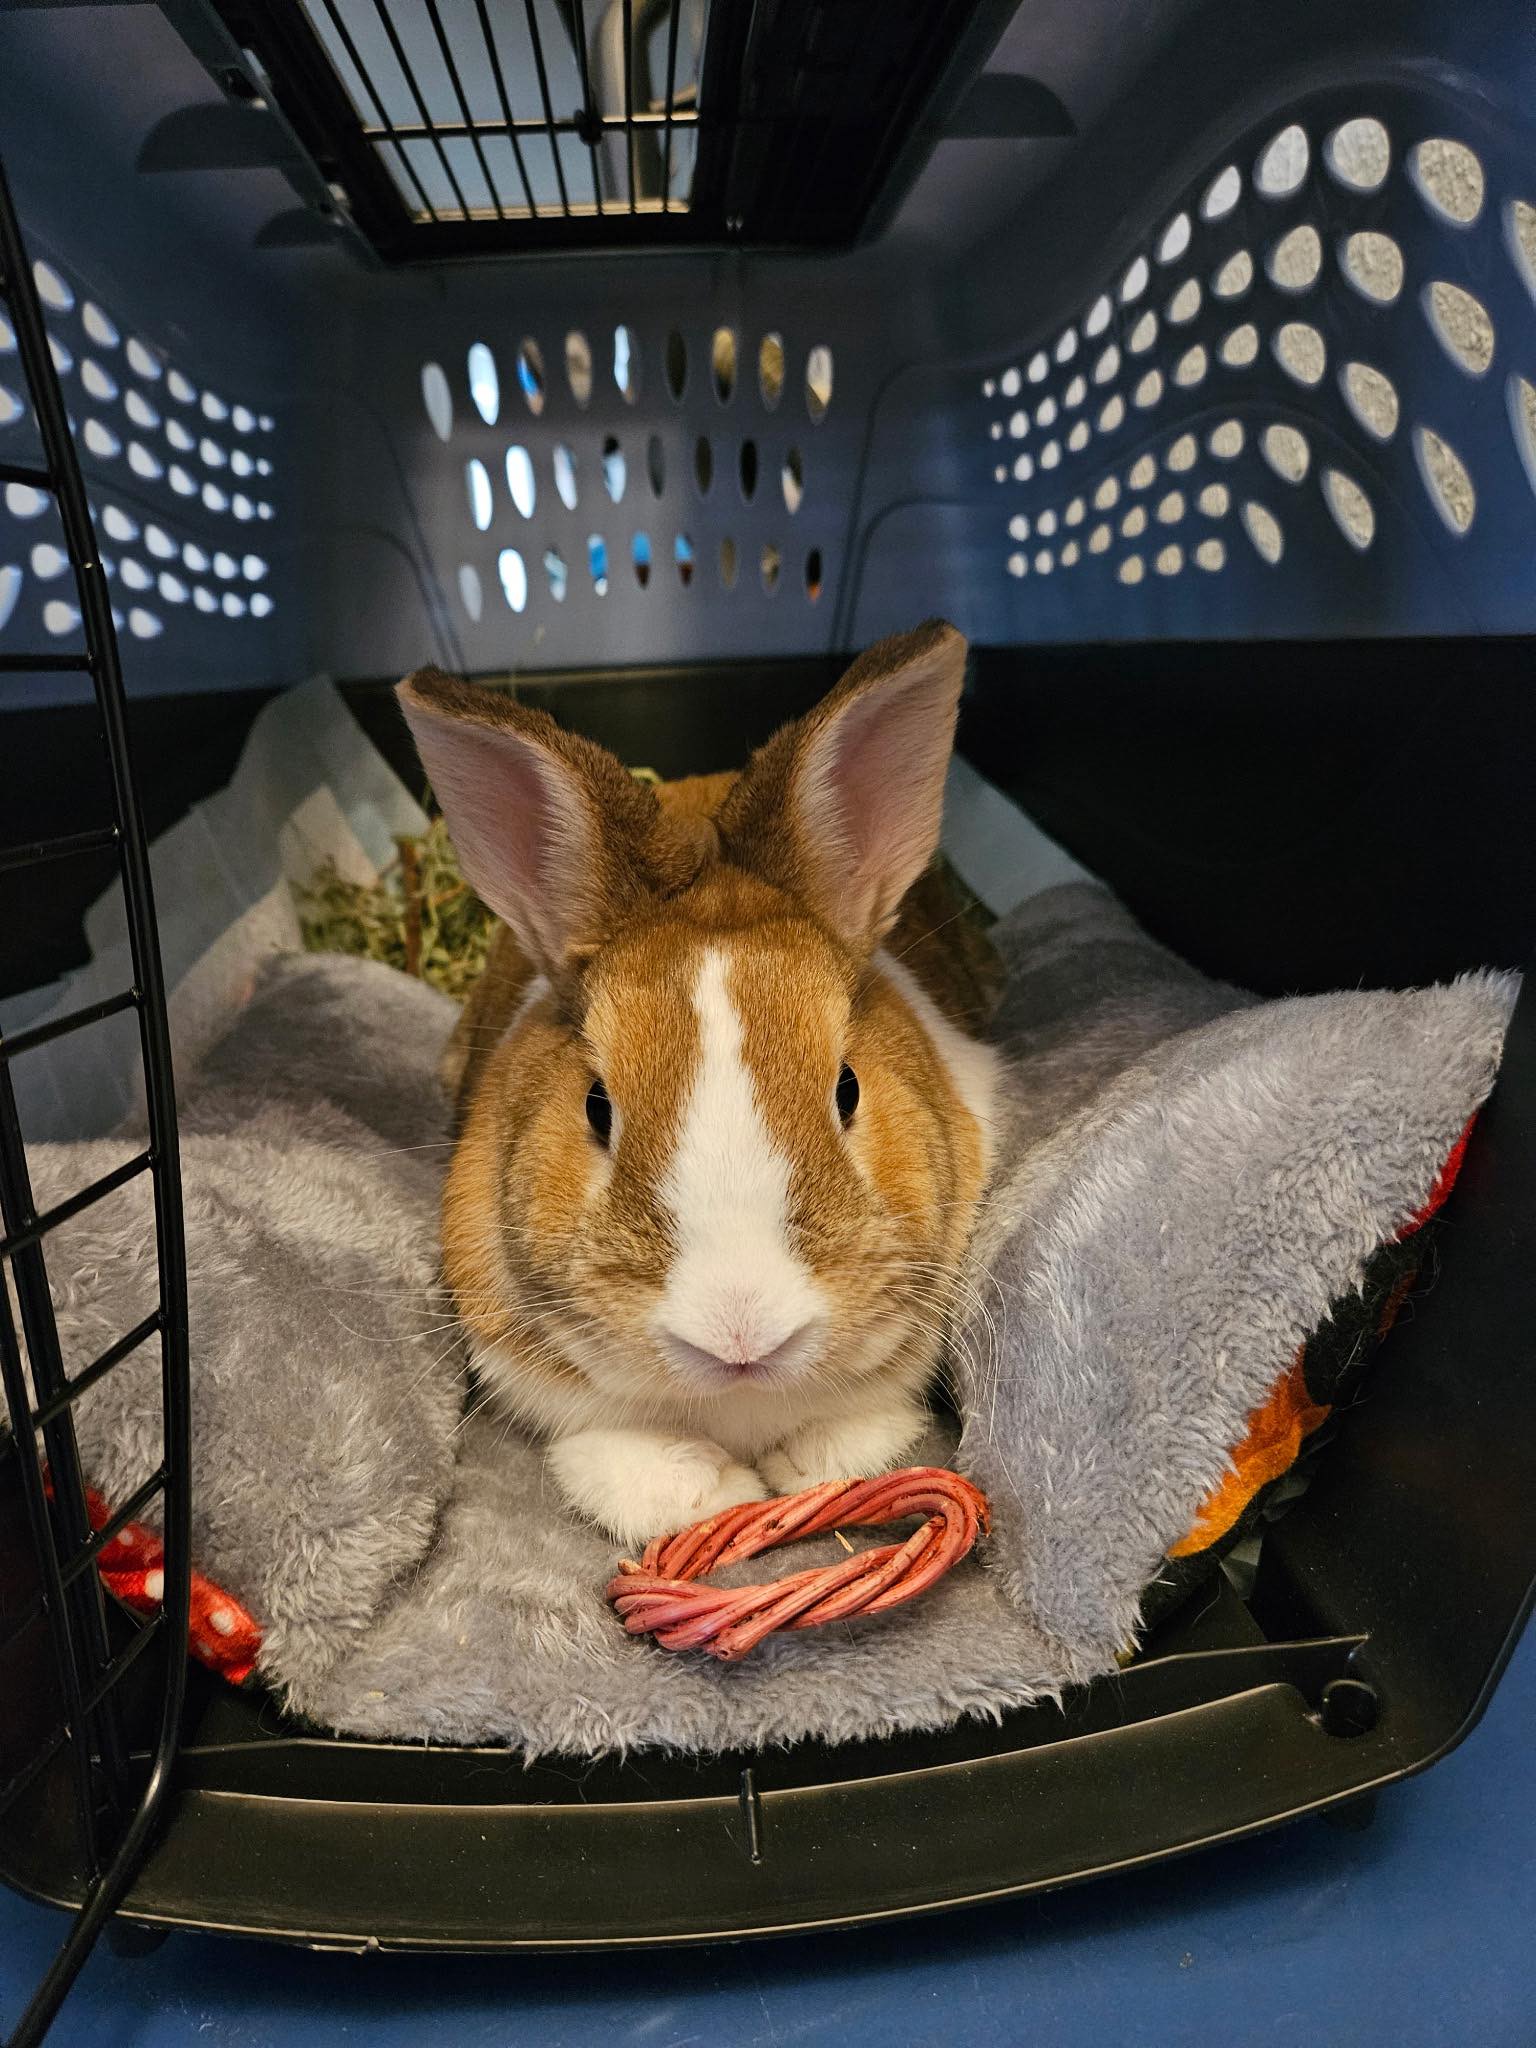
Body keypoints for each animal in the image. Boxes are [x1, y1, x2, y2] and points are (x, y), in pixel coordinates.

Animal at [397, 620, 1003, 1546]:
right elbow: (609, 1438)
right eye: (597, 1107)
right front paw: (703, 1492)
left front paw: (813, 1467)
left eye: (848, 1089)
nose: (740, 1334)